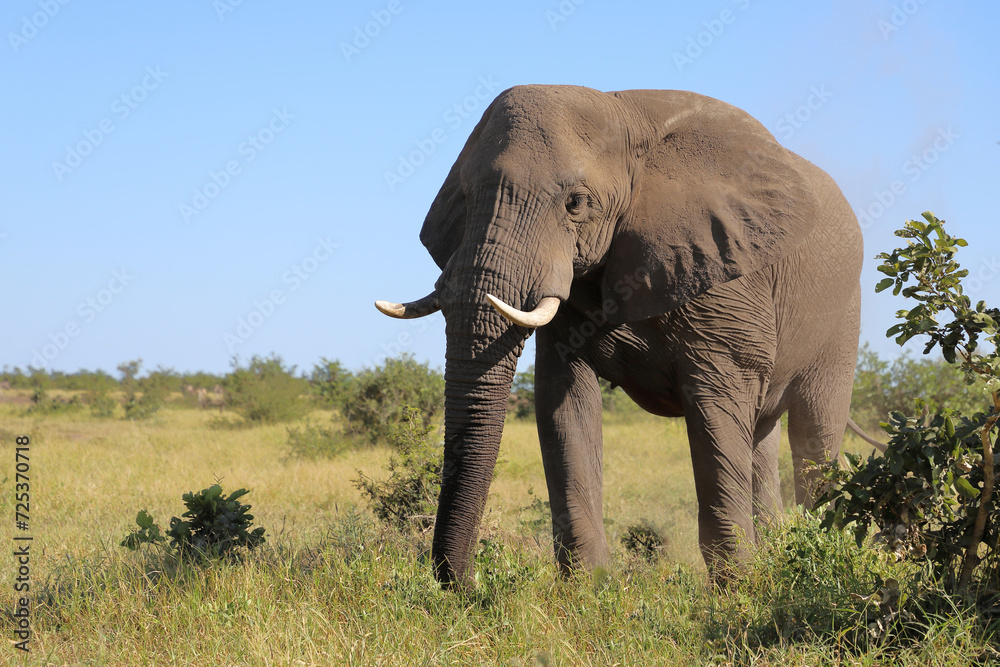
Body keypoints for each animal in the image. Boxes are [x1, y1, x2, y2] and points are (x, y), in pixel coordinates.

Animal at [378, 85, 864, 588]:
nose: (465, 584)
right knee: (763, 435)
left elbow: (716, 411)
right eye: (467, 197)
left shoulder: (726, 275)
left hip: (844, 312)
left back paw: (815, 550)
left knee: (814, 432)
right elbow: (565, 404)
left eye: (575, 203)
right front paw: (588, 586)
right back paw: (776, 550)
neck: (620, 113)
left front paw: (739, 588)